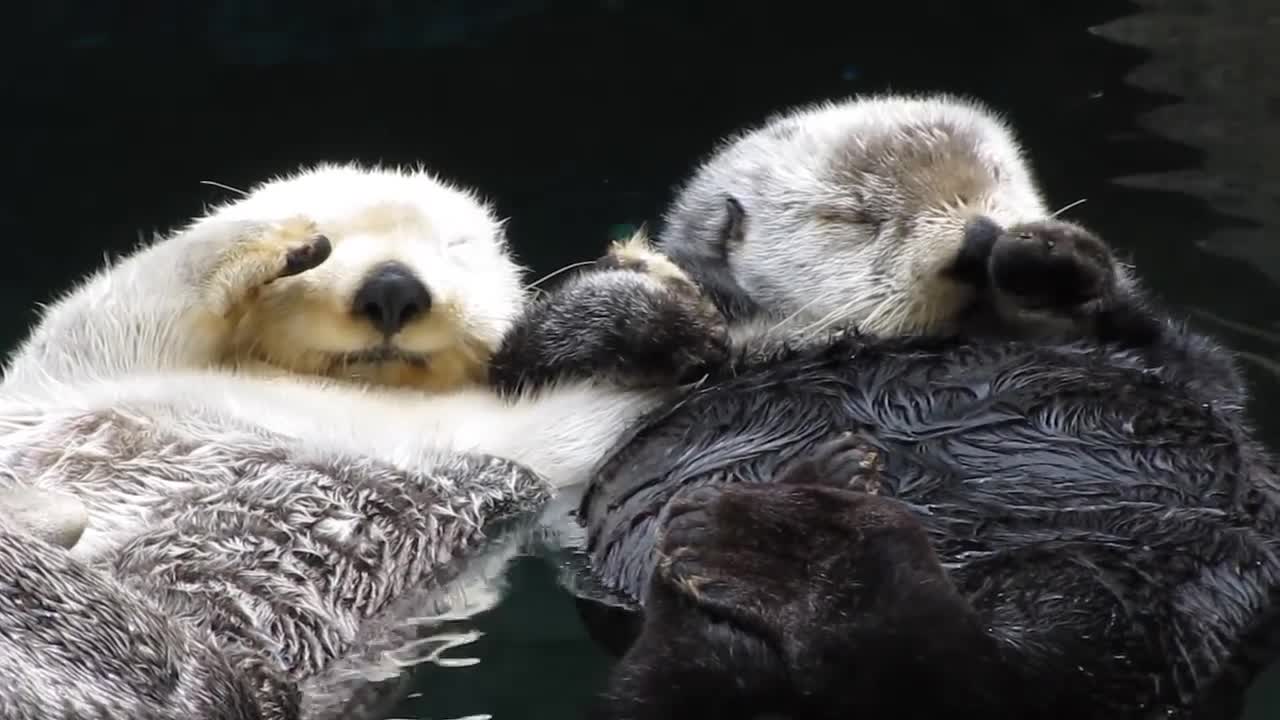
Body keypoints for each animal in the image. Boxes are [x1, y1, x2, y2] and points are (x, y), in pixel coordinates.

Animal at [0, 163, 732, 717]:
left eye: (454, 248)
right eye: (334, 235)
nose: (393, 286)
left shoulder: (536, 446)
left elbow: (607, 407)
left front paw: (639, 300)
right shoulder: (83, 372)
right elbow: (115, 307)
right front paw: (276, 237)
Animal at [560, 95, 1280, 717]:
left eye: (995, 179)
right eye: (852, 217)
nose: (979, 239)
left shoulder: (1168, 364)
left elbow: (1188, 360)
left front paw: (1043, 257)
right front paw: (651, 309)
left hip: (1152, 582)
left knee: (991, 676)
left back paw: (801, 546)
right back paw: (777, 541)